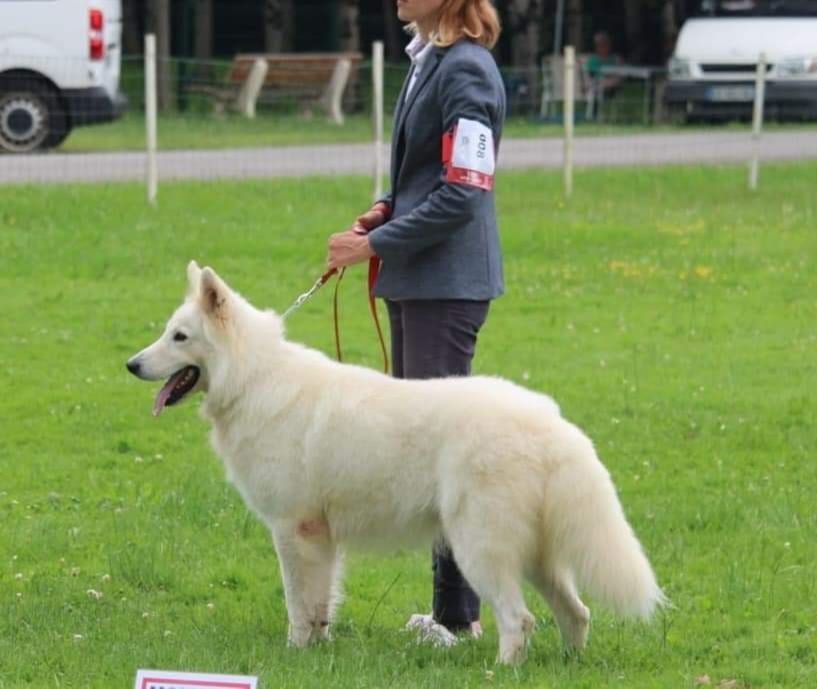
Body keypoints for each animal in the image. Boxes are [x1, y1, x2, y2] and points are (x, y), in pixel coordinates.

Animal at [127, 262, 664, 660]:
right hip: (535, 554)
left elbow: (298, 602)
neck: (254, 378)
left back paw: (502, 671)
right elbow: (320, 602)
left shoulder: (293, 530)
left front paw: (295, 652)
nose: (131, 365)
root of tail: (552, 423)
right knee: (576, 613)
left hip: (478, 548)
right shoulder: (321, 538)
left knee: (520, 619)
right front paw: (317, 648)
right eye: (167, 332)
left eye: (179, 337)